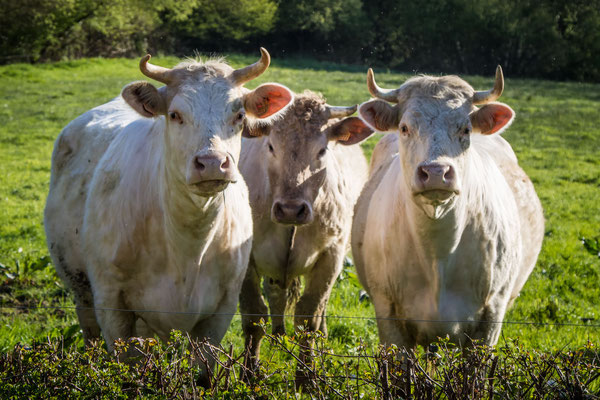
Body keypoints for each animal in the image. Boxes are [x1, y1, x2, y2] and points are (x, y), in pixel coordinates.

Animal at [44, 48, 292, 382]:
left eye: (239, 116)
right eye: (175, 115)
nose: (212, 163)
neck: (187, 243)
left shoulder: (219, 310)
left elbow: (203, 375)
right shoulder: (112, 306)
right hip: (80, 288)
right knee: (90, 333)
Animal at [237, 90, 372, 372]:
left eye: (322, 150)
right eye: (270, 146)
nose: (291, 210)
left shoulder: (331, 256)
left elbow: (309, 317)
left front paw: (307, 375)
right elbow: (254, 318)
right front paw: (249, 374)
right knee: (276, 293)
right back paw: (278, 333)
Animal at [352, 66, 544, 346]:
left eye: (465, 129)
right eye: (405, 127)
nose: (435, 172)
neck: (438, 252)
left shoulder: (491, 316)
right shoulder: (388, 313)